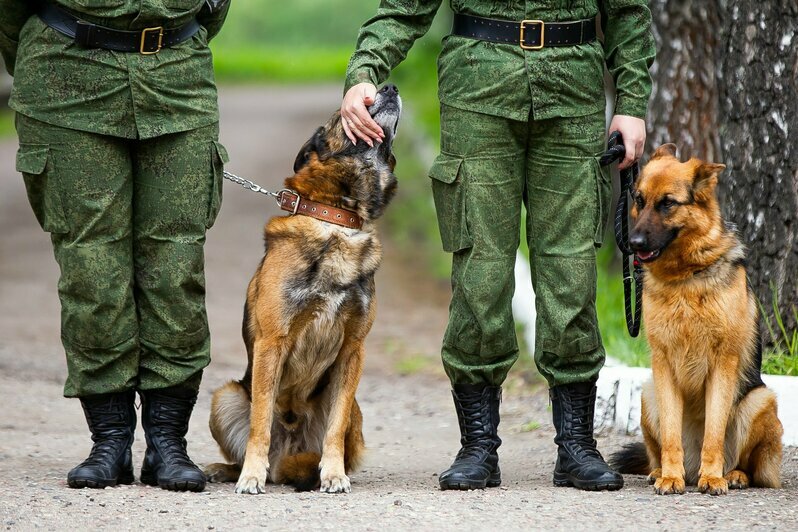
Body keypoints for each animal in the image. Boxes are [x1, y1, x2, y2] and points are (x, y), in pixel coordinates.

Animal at [205, 84, 400, 494]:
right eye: (344, 113)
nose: (389, 87)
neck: (337, 221)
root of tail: (286, 458)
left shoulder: (353, 350)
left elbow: (334, 429)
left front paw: (334, 474)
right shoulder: (271, 343)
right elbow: (260, 421)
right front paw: (250, 476)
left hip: (354, 405)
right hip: (225, 397)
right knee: (255, 441)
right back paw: (233, 469)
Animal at [616, 144, 784, 494]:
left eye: (668, 203)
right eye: (639, 199)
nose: (633, 245)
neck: (685, 277)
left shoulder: (723, 364)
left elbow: (714, 433)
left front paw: (713, 477)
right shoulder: (663, 364)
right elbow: (670, 435)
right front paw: (670, 476)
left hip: (759, 400)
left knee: (750, 466)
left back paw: (732, 475)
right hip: (648, 394)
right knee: (657, 449)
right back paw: (662, 471)